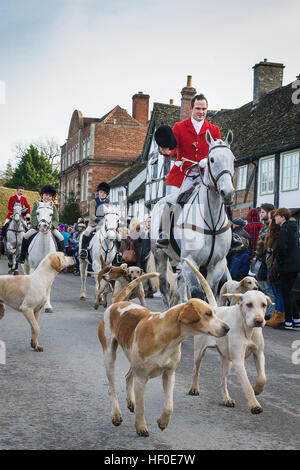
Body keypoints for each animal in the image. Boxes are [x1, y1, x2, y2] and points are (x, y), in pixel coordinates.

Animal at [151, 130, 236, 310]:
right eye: (212, 159)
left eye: (233, 159)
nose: (228, 193)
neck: (211, 222)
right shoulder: (190, 261)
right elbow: (198, 294)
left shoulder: (217, 265)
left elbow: (210, 293)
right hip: (160, 256)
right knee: (165, 287)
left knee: (180, 282)